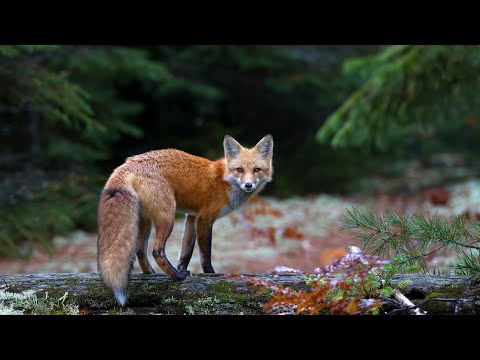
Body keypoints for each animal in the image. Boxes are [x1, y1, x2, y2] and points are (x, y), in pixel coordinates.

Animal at [96, 134, 274, 306]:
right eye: (239, 170)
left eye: (256, 170)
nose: (248, 185)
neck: (224, 180)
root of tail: (126, 164)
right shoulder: (204, 218)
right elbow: (205, 254)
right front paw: (210, 275)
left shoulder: (191, 217)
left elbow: (186, 251)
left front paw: (182, 268)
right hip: (167, 217)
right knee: (157, 251)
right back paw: (177, 277)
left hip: (145, 220)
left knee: (140, 251)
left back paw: (153, 274)